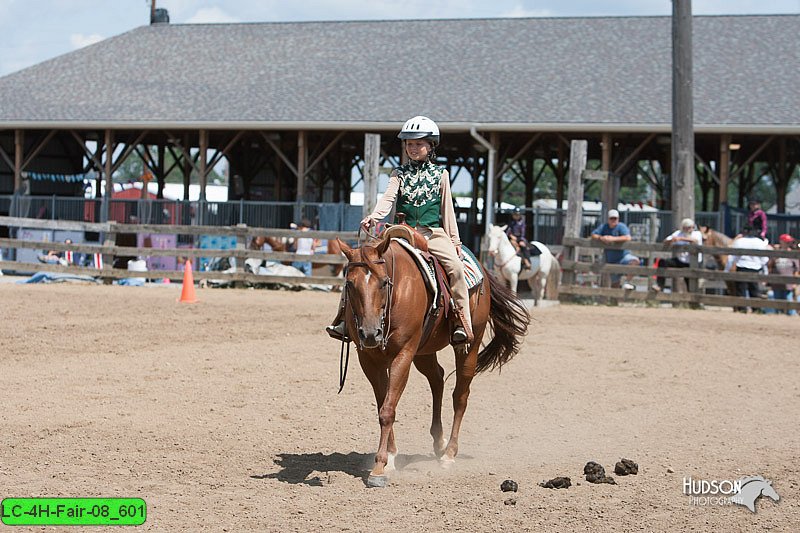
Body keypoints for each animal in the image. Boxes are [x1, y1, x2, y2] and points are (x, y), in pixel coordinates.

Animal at [338, 237, 532, 486]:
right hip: (424, 352)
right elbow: (384, 404)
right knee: (437, 379)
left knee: (460, 396)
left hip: (469, 345)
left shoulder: (404, 353)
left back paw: (449, 453)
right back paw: (439, 443)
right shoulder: (369, 359)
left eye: (383, 282)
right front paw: (390, 457)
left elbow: (388, 409)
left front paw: (379, 468)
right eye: (350, 284)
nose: (371, 334)